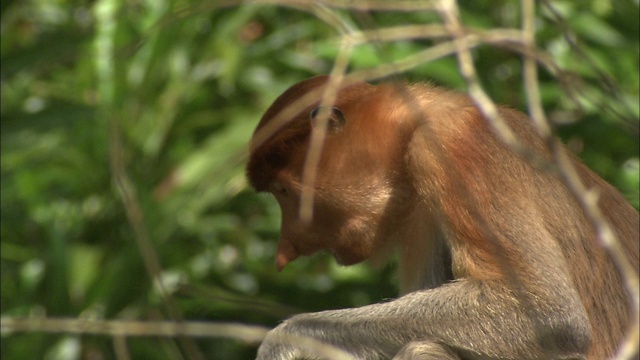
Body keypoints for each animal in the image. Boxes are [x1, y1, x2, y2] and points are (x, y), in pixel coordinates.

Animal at [246, 74, 640, 358]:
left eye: (283, 191)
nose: (285, 249)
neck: (414, 124)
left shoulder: (451, 146)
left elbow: (550, 313)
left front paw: (288, 340)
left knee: (423, 347)